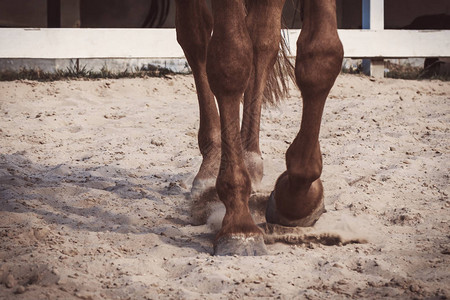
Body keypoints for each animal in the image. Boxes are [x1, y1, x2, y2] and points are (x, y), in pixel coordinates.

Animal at [174, 0, 342, 255]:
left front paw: (297, 200)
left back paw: (250, 156)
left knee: (261, 40)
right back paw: (212, 162)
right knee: (196, 38)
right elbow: (230, 61)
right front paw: (239, 224)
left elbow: (322, 55)